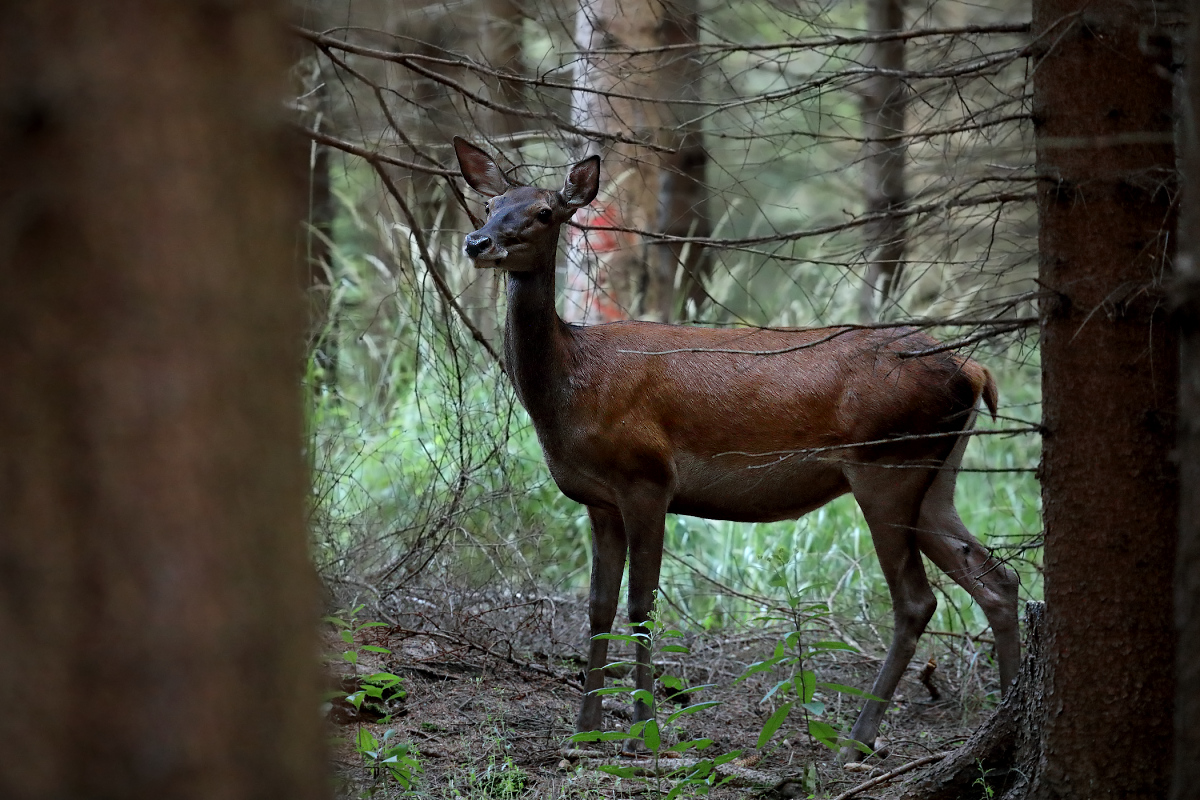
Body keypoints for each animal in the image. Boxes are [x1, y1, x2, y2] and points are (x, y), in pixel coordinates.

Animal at [451, 139, 1022, 762]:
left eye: (544, 212)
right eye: (490, 204)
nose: (477, 242)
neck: (570, 385)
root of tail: (973, 369)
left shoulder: (647, 477)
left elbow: (641, 604)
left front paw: (646, 730)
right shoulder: (597, 499)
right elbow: (597, 606)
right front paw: (586, 729)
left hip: (887, 466)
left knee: (917, 600)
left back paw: (856, 742)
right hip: (935, 477)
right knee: (997, 580)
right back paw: (1005, 713)